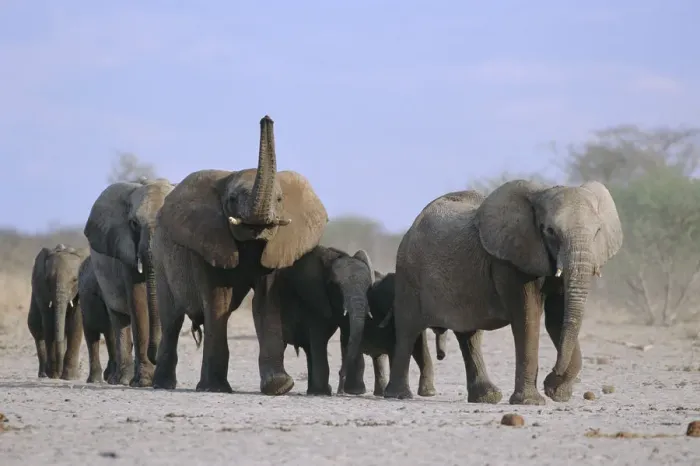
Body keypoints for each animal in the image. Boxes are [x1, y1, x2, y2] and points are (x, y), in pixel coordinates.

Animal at [27, 244, 88, 379]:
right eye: (48, 279)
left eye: (75, 280)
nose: (59, 373)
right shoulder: (42, 288)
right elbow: (49, 323)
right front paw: (54, 374)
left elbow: (76, 322)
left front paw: (70, 377)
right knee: (37, 330)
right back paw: (44, 374)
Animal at [83, 177, 175, 386]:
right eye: (134, 223)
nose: (155, 356)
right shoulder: (125, 249)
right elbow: (139, 302)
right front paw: (144, 382)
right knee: (118, 321)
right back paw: (121, 379)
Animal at [151, 115, 328, 395]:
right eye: (232, 199)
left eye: (280, 200)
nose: (266, 118)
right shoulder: (208, 242)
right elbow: (218, 302)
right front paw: (214, 388)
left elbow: (266, 302)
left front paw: (280, 386)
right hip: (159, 257)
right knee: (171, 320)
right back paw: (162, 384)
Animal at [383, 180, 623, 405]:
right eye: (550, 231)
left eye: (598, 232)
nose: (552, 375)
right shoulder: (510, 261)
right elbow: (528, 317)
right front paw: (531, 401)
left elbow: (557, 318)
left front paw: (557, 392)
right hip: (407, 272)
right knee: (407, 329)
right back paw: (398, 395)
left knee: (469, 335)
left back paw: (487, 397)